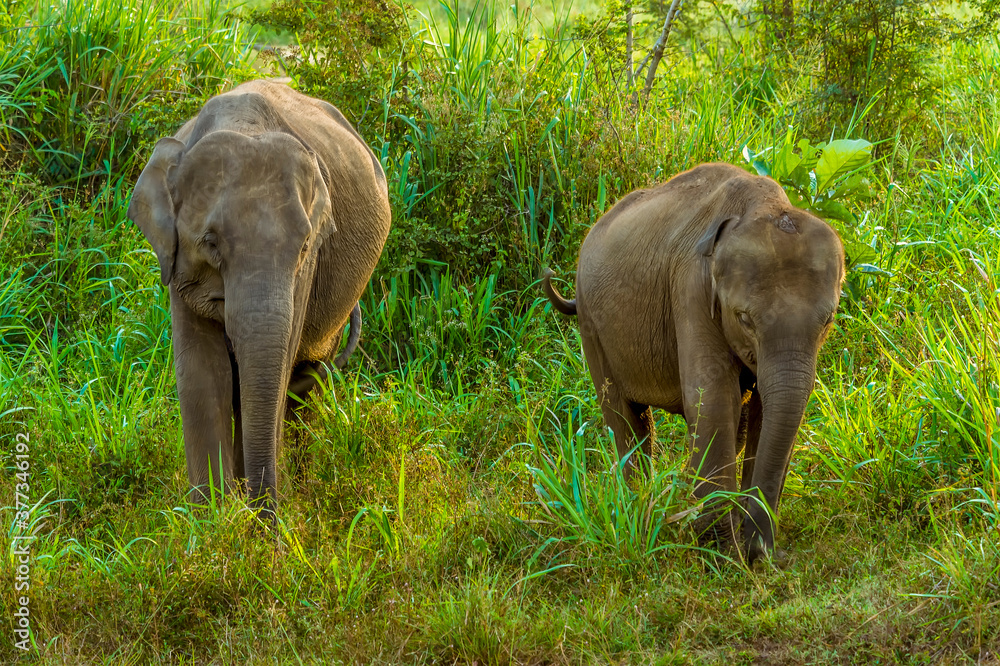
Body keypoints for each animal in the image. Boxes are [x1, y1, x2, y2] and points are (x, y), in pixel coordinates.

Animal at [128, 80, 391, 519]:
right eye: (211, 242)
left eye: (304, 247)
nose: (267, 519)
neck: (244, 124)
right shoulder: (176, 264)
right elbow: (202, 373)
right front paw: (213, 523)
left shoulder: (306, 274)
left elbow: (277, 371)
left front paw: (244, 523)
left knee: (301, 390)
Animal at [543, 162, 844, 563]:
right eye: (743, 318)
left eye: (828, 319)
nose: (759, 553)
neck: (759, 206)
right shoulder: (690, 288)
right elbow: (713, 398)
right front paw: (721, 553)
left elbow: (762, 409)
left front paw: (741, 544)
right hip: (591, 323)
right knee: (622, 415)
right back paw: (642, 509)